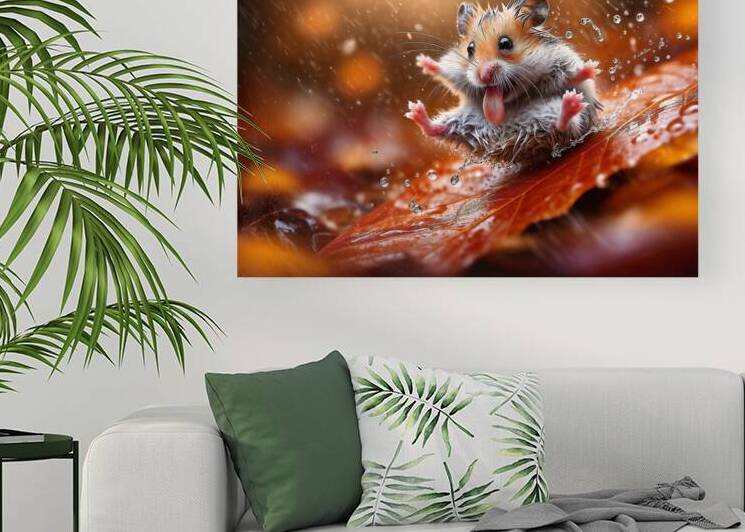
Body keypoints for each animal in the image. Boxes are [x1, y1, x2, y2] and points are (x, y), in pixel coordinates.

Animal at [405, 0, 602, 167]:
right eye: (469, 49)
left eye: (506, 43)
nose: (483, 76)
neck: (516, 97)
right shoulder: (459, 75)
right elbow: (446, 72)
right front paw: (422, 61)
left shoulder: (557, 63)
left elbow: (570, 76)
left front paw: (592, 67)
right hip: (464, 121)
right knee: (438, 129)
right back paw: (415, 111)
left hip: (551, 115)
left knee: (563, 126)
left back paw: (571, 102)